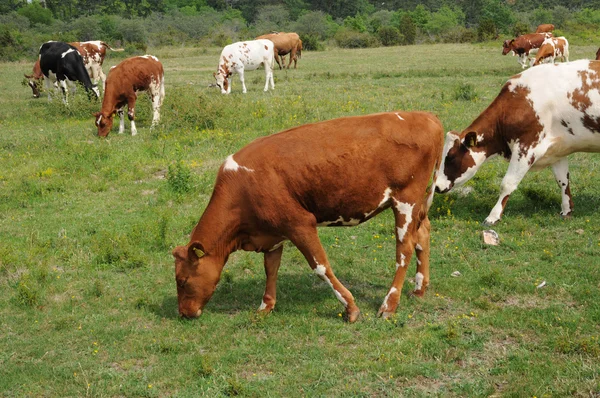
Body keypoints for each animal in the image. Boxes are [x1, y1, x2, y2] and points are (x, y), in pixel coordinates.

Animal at [171, 110, 442, 322]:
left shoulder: (299, 224)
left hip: (405, 200)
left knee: (404, 249)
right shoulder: (273, 232)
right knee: (423, 234)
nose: (183, 313)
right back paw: (419, 289)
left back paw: (389, 305)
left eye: (182, 280)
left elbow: (321, 266)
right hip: (416, 204)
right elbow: (271, 268)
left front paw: (351, 308)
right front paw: (265, 306)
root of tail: (425, 116)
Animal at [434, 60, 600, 225]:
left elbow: (507, 184)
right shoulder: (557, 150)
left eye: (451, 158)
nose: (436, 186)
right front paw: (566, 210)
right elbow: (563, 181)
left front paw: (493, 216)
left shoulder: (526, 147)